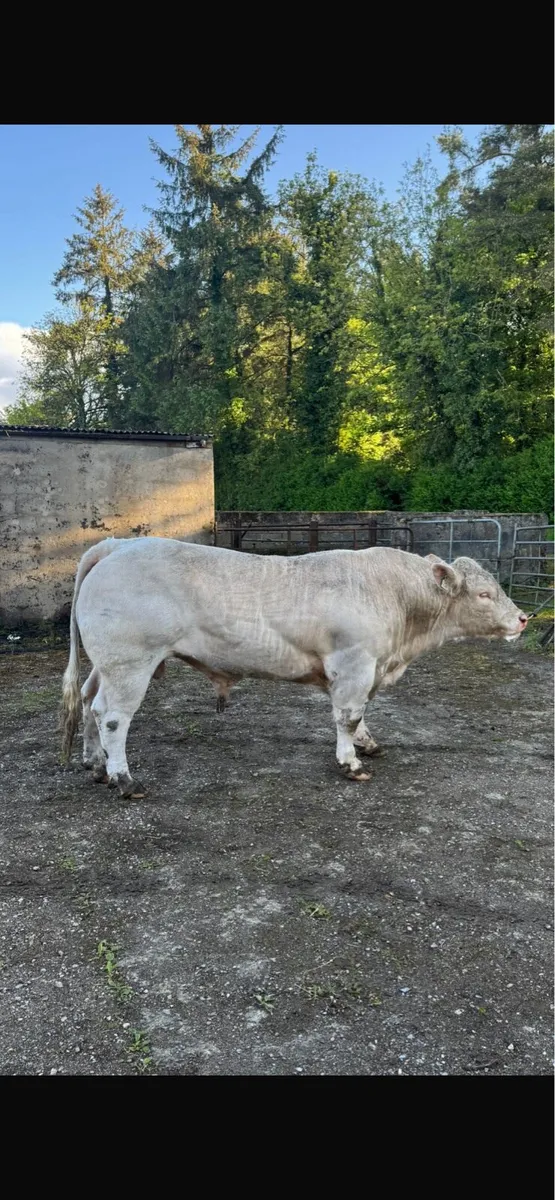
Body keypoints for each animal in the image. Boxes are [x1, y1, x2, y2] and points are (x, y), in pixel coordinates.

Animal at [60, 536, 528, 797]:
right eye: (485, 594)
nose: (524, 618)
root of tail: (118, 545)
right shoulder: (353, 663)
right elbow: (348, 715)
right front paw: (351, 762)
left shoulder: (366, 669)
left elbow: (360, 714)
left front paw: (367, 743)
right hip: (130, 662)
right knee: (113, 718)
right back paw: (124, 779)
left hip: (106, 664)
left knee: (88, 703)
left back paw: (95, 764)